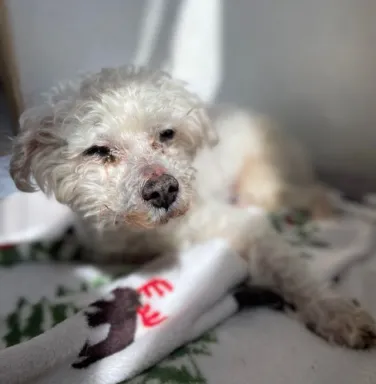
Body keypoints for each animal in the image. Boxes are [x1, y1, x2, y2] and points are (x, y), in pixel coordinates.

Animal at [8, 65, 376, 348]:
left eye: (167, 134)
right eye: (97, 151)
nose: (163, 191)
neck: (145, 235)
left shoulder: (239, 225)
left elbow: (292, 271)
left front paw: (337, 313)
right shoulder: (110, 254)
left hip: (262, 186)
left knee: (318, 193)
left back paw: (326, 215)